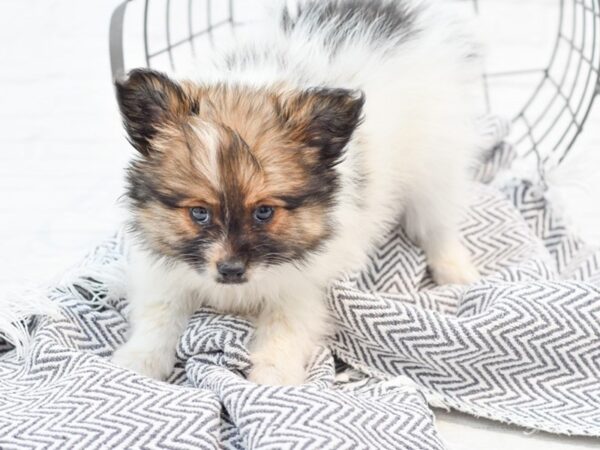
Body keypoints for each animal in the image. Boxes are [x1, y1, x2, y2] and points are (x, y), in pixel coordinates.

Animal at [111, 0, 478, 386]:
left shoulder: (302, 286)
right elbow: (159, 315)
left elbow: (285, 328)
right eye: (199, 212)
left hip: (436, 164)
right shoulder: (163, 272)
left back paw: (455, 270)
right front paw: (138, 361)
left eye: (264, 212)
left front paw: (274, 376)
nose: (230, 270)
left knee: (437, 223)